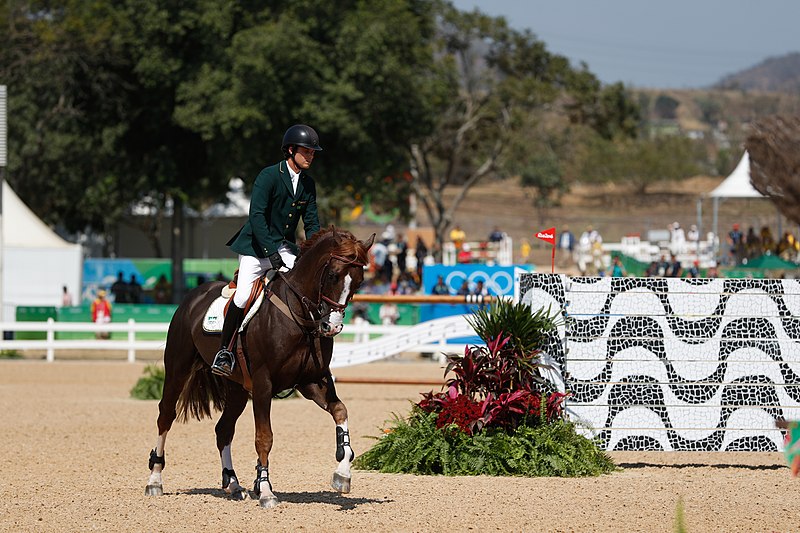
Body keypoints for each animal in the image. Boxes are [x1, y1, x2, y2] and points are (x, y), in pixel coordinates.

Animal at [145, 225, 376, 508]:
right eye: (332, 275)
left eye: (359, 281)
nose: (331, 326)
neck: (300, 316)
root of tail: (193, 296)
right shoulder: (263, 384)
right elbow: (264, 438)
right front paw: (265, 491)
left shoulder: (312, 381)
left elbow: (340, 411)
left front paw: (342, 473)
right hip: (178, 369)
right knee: (166, 415)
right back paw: (155, 480)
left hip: (237, 389)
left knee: (223, 429)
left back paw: (233, 484)